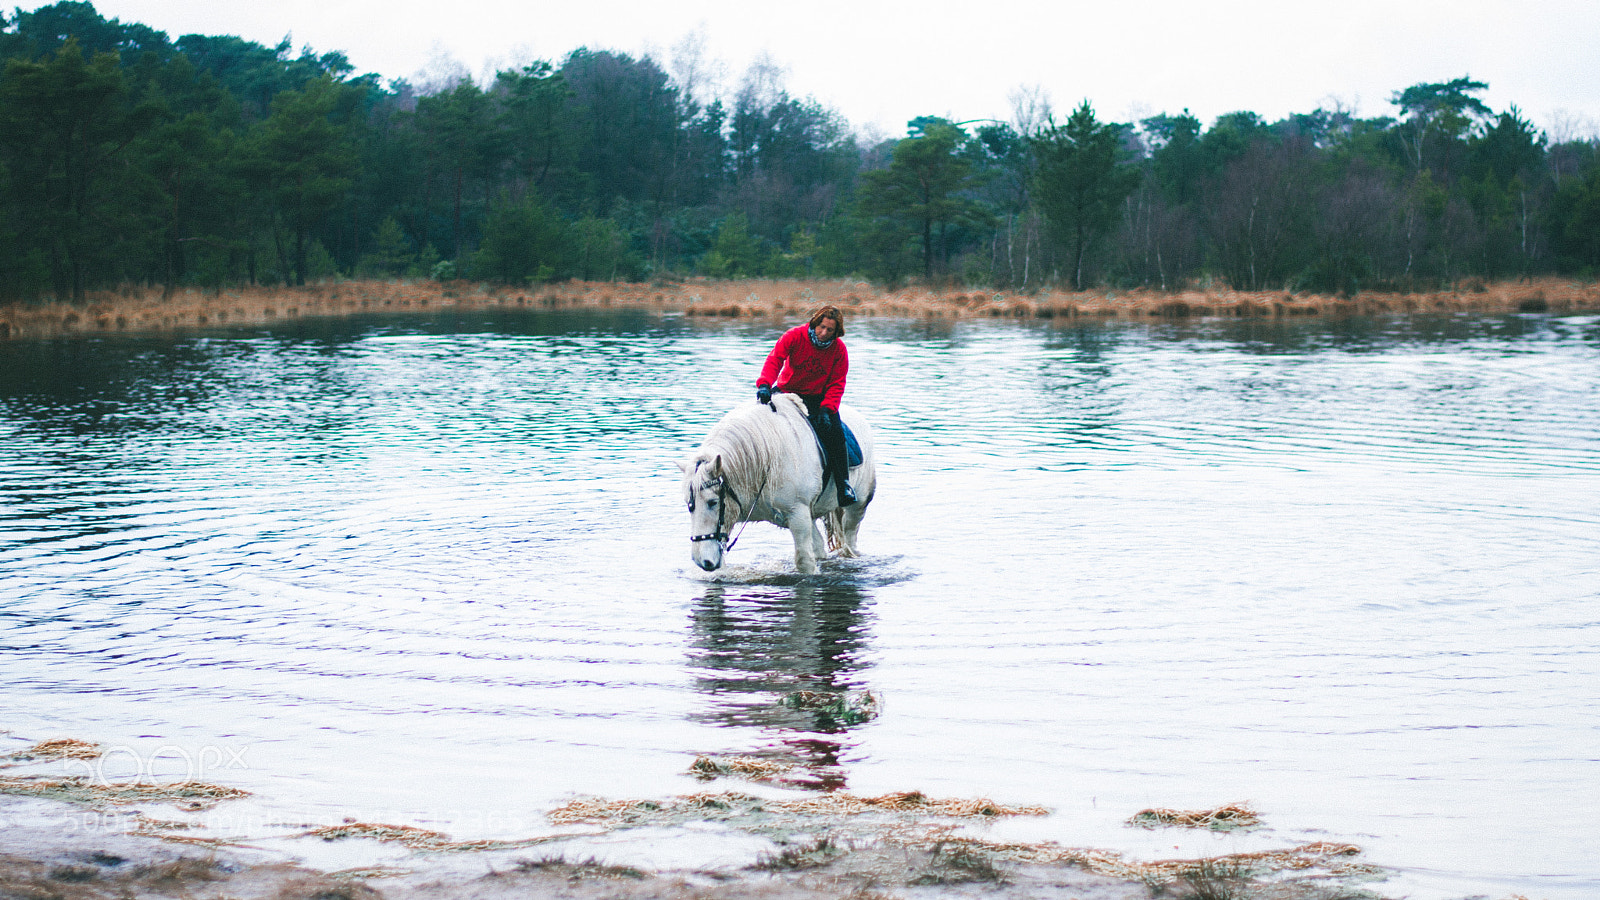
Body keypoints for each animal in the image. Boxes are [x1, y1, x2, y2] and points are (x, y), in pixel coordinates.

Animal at [678, 393, 877, 575]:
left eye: (713, 502)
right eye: (689, 506)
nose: (702, 560)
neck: (765, 459)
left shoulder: (798, 516)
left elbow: (804, 561)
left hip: (857, 506)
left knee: (850, 539)